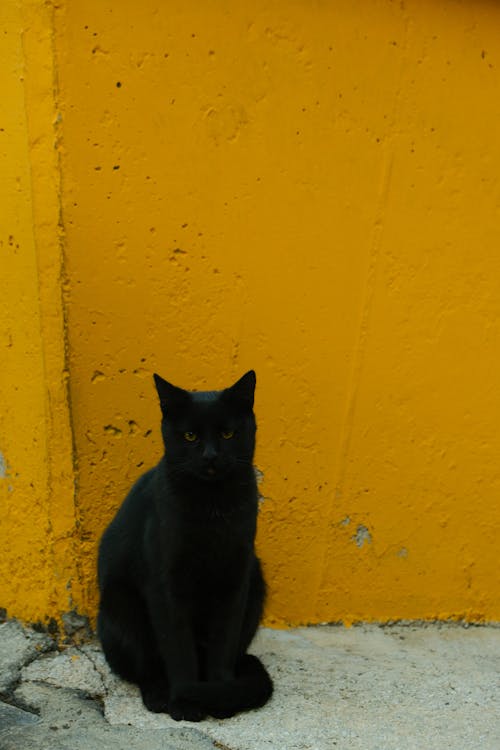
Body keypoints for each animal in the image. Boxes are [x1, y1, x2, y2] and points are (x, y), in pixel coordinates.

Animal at [97, 370, 274, 724]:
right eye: (190, 436)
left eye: (228, 433)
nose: (210, 456)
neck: (212, 507)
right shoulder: (166, 587)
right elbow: (178, 649)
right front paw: (185, 702)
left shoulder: (235, 580)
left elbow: (222, 645)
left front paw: (219, 696)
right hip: (119, 604)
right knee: (146, 667)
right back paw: (159, 697)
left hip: (257, 582)